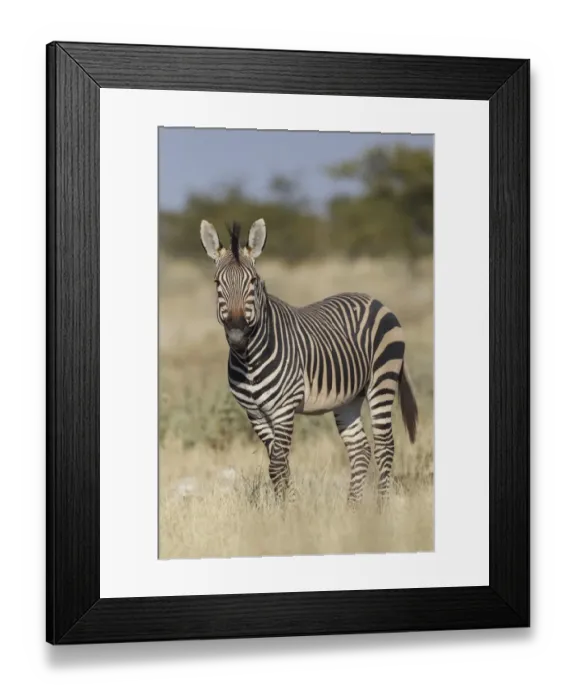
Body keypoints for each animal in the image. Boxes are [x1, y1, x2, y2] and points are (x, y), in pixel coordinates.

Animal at [200, 217, 418, 506]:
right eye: (217, 283)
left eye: (253, 281)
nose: (237, 335)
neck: (249, 360)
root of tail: (375, 300)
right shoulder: (255, 414)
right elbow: (280, 465)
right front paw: (287, 508)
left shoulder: (283, 409)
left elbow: (277, 466)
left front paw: (289, 511)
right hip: (348, 397)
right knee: (360, 449)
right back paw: (353, 510)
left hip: (382, 380)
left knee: (385, 446)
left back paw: (380, 509)